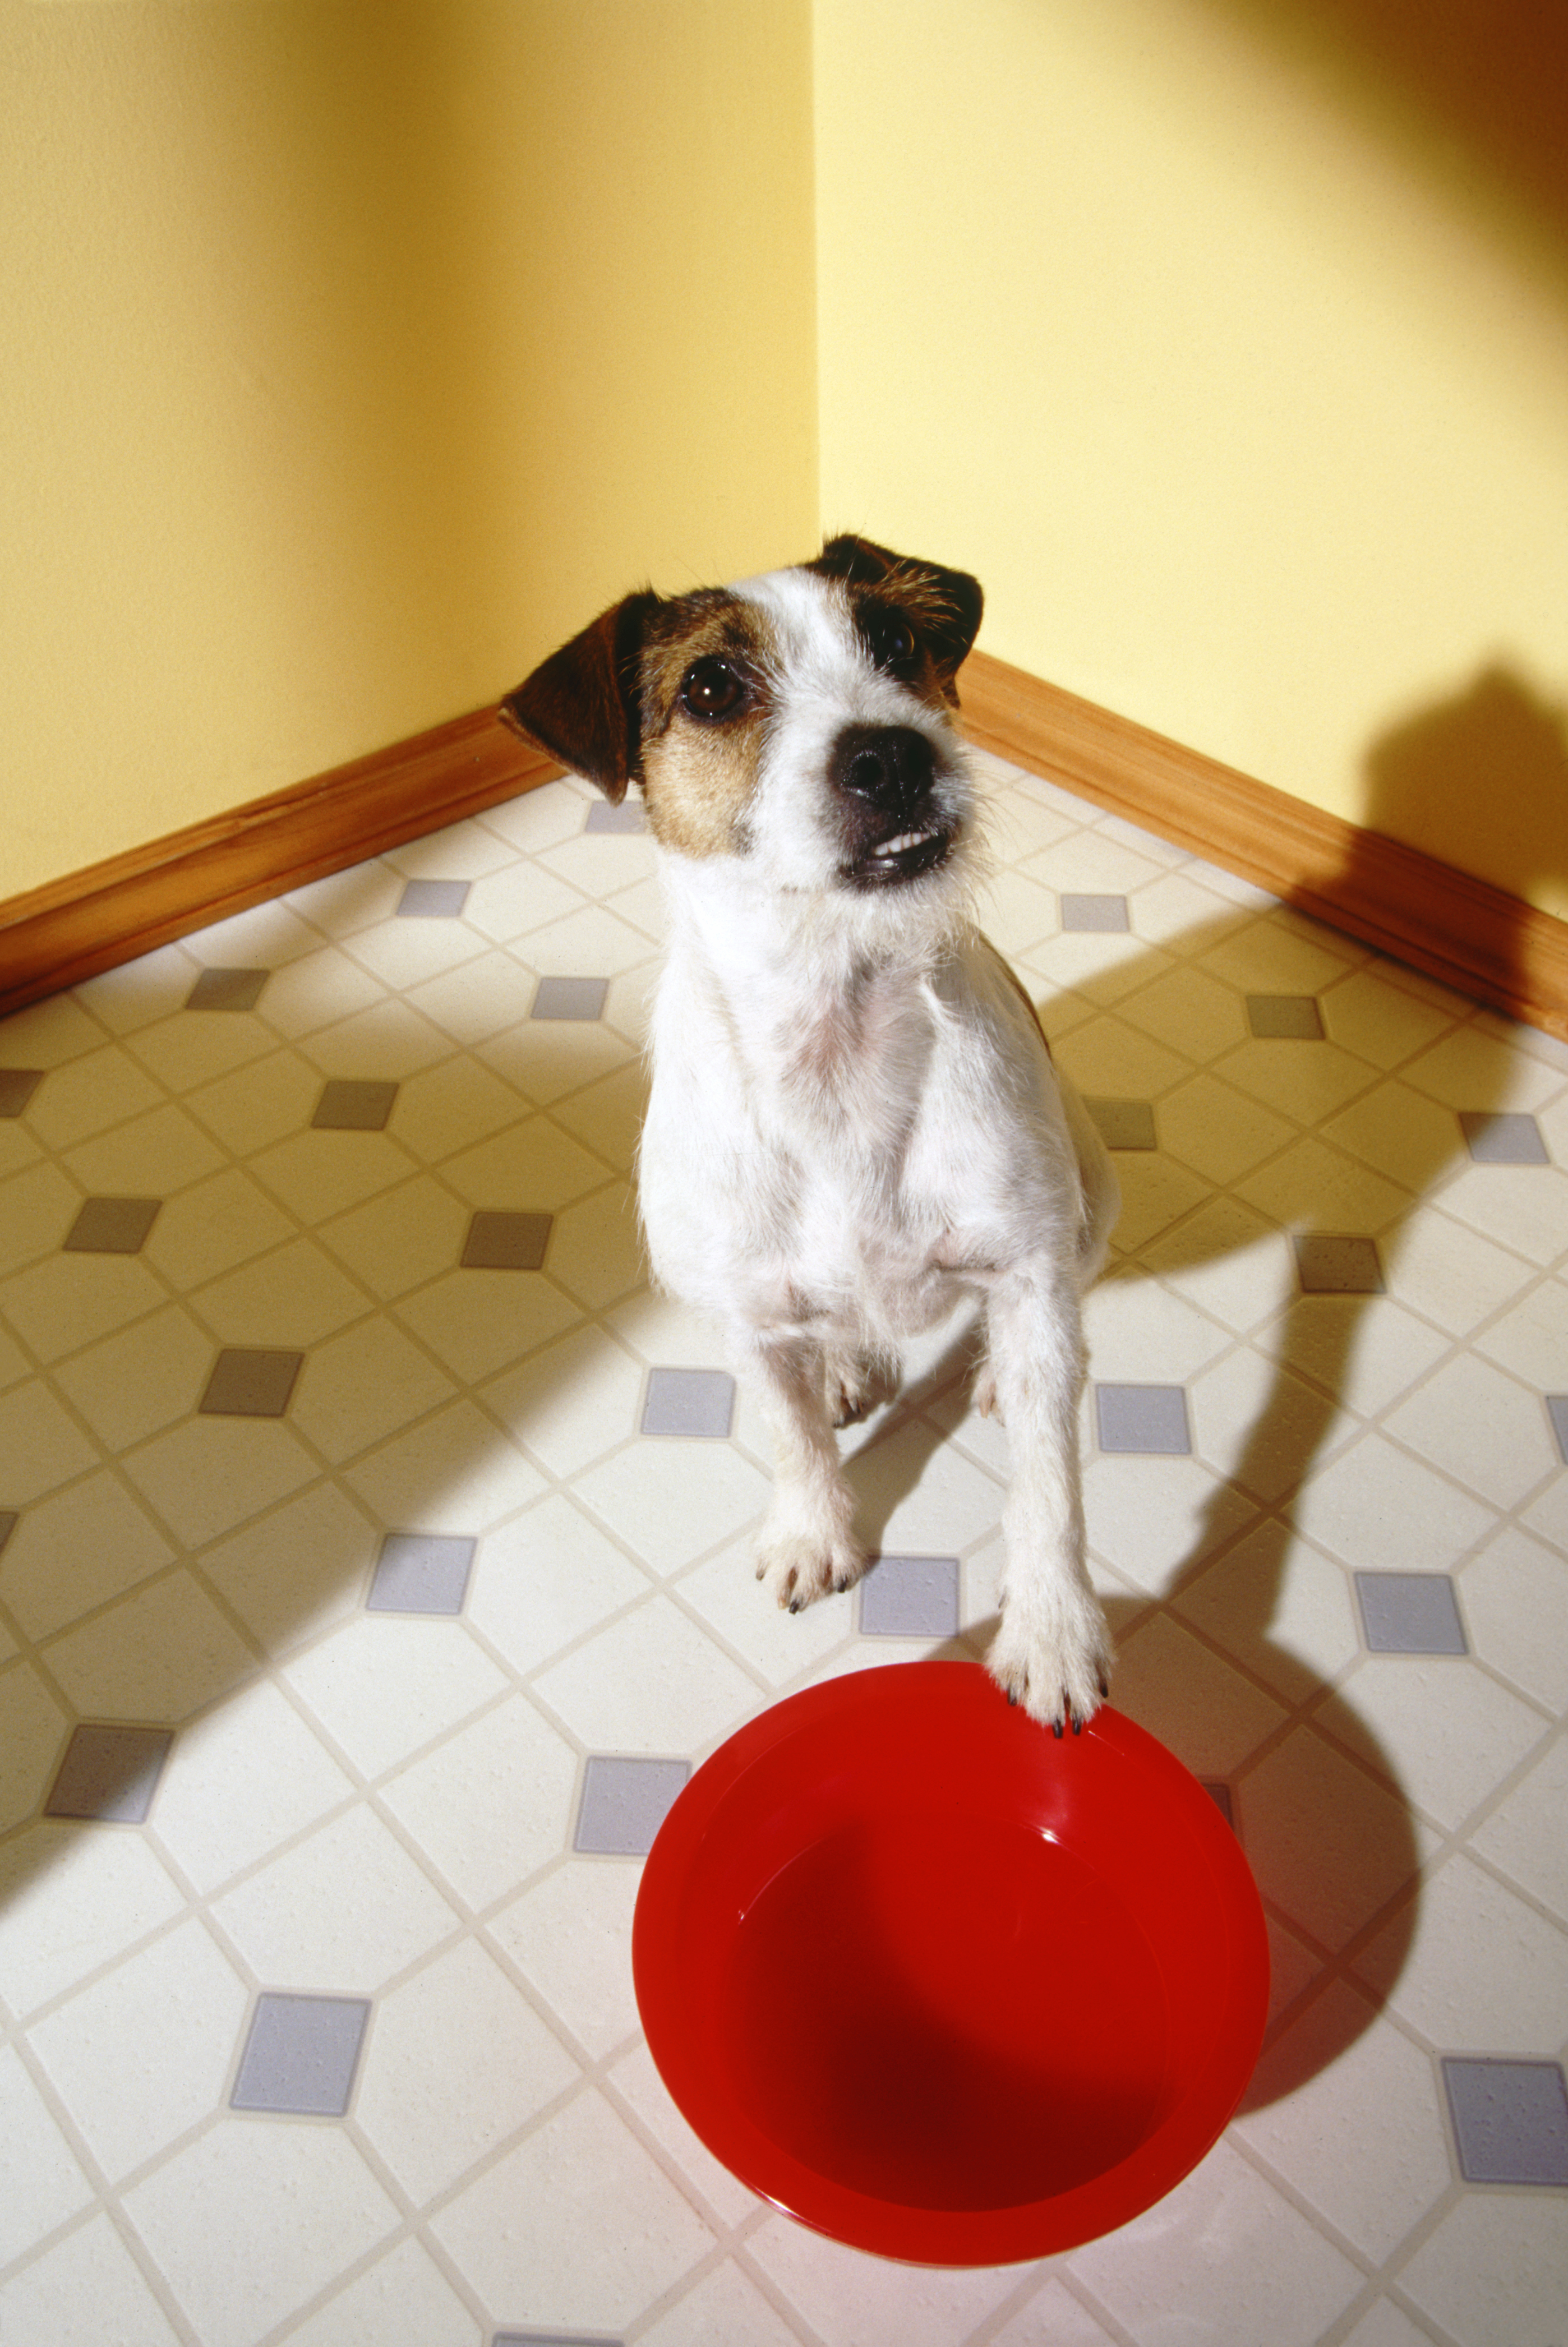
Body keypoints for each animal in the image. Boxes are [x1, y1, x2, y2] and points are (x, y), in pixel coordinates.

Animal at [500, 540, 1112, 1736]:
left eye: (896, 641)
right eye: (710, 688)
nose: (894, 757)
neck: (838, 1027)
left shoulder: (1024, 1258)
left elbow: (1051, 1483)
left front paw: (1052, 1629)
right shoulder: (739, 1303)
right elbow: (786, 1432)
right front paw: (813, 1529)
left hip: (1091, 1193)